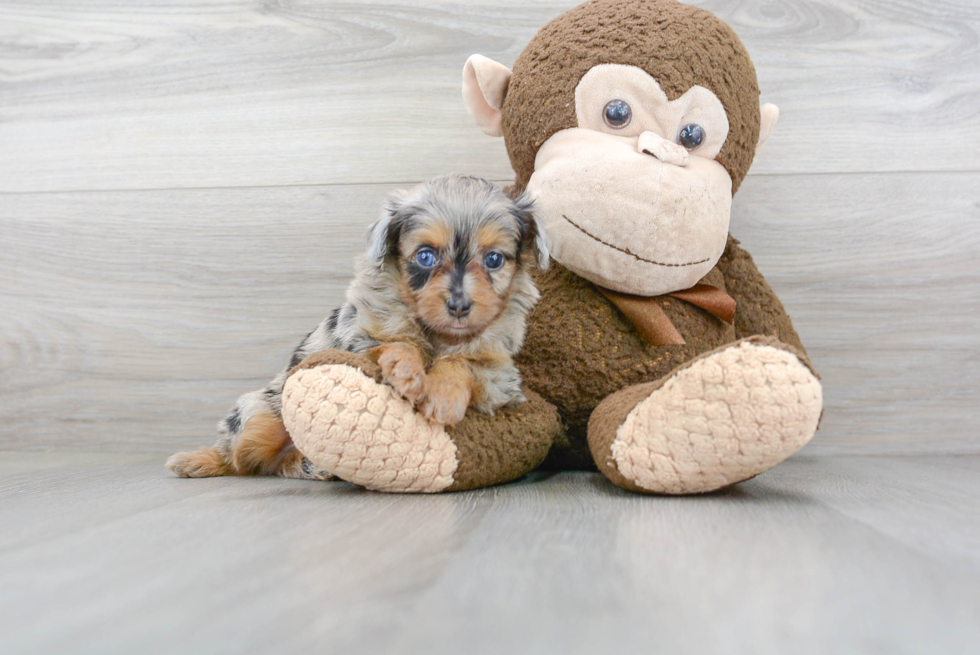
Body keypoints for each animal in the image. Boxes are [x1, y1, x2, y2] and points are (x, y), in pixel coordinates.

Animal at [168, 174, 552, 482]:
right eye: (425, 256)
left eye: (494, 259)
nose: (459, 306)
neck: (438, 334)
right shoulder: (357, 341)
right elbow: (396, 343)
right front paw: (407, 370)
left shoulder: (499, 378)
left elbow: (463, 363)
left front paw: (442, 396)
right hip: (258, 417)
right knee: (241, 460)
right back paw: (201, 461)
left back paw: (308, 465)